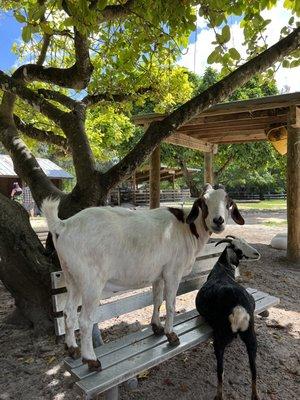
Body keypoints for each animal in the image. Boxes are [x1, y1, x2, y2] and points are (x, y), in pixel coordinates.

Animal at [41, 184, 244, 372]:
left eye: (228, 202)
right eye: (203, 202)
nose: (218, 221)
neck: (187, 228)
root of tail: (63, 225)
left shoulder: (158, 274)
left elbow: (157, 300)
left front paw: (157, 327)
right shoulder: (172, 272)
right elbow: (170, 304)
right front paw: (171, 335)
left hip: (71, 276)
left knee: (68, 312)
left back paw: (72, 349)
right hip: (91, 281)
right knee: (84, 320)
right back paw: (91, 360)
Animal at [197, 236, 260, 398]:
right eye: (238, 248)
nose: (257, 254)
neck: (222, 270)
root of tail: (238, 307)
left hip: (220, 337)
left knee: (220, 370)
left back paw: (218, 395)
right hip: (251, 336)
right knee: (253, 369)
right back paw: (254, 395)